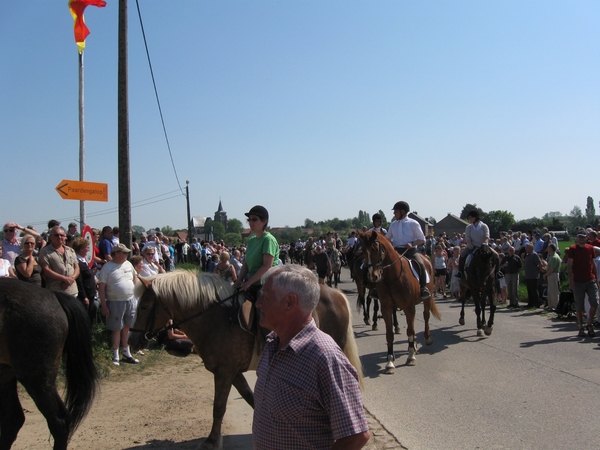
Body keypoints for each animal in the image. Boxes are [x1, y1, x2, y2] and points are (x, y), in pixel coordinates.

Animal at [130, 270, 360, 450]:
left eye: (144, 306)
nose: (132, 341)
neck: (214, 318)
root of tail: (336, 293)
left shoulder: (224, 373)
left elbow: (218, 407)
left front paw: (212, 441)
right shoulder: (233, 373)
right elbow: (251, 398)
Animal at [356, 232, 440, 372]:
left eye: (375, 249)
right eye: (362, 250)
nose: (372, 276)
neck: (392, 277)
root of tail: (426, 258)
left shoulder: (409, 307)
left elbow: (410, 330)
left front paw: (410, 357)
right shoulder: (387, 307)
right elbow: (389, 334)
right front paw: (390, 361)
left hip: (427, 299)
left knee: (426, 316)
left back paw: (427, 339)